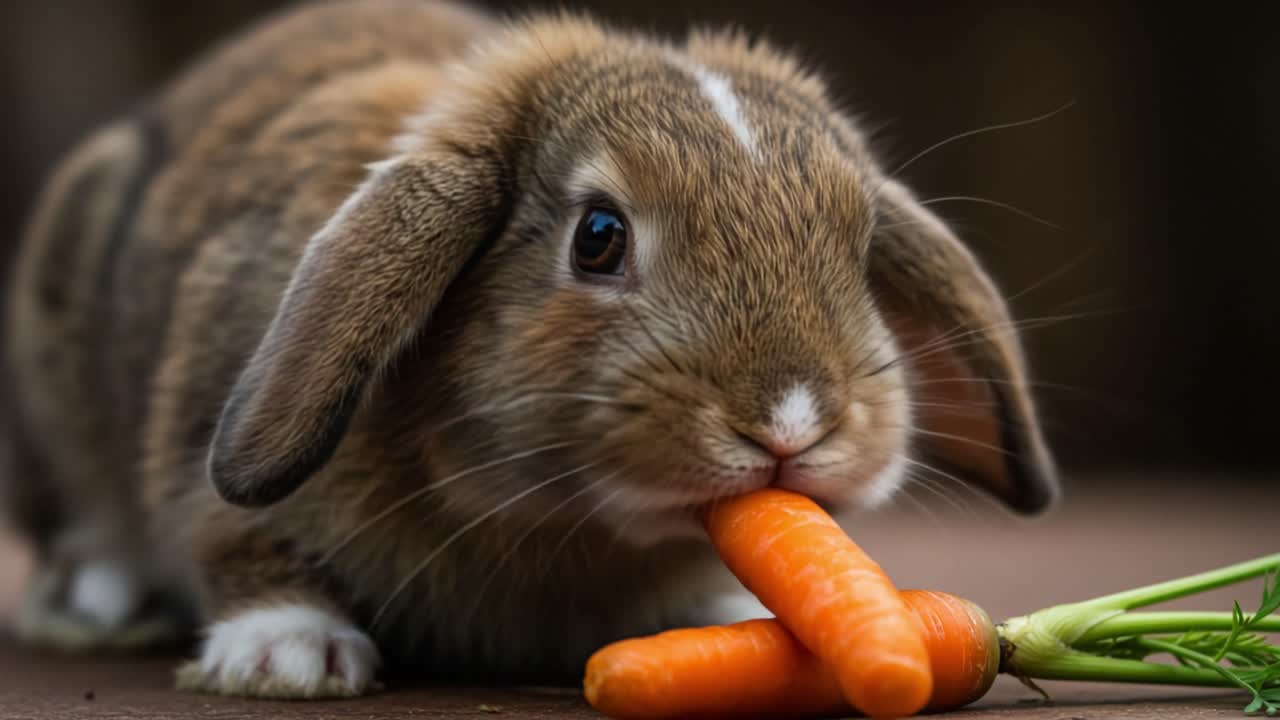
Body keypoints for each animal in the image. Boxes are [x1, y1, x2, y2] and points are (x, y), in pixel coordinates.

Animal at [1, 0, 1058, 700]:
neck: (560, 528)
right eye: (598, 236)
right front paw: (289, 657)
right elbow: (235, 537)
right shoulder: (203, 442)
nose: (790, 422)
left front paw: (725, 617)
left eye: (859, 247)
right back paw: (99, 599)